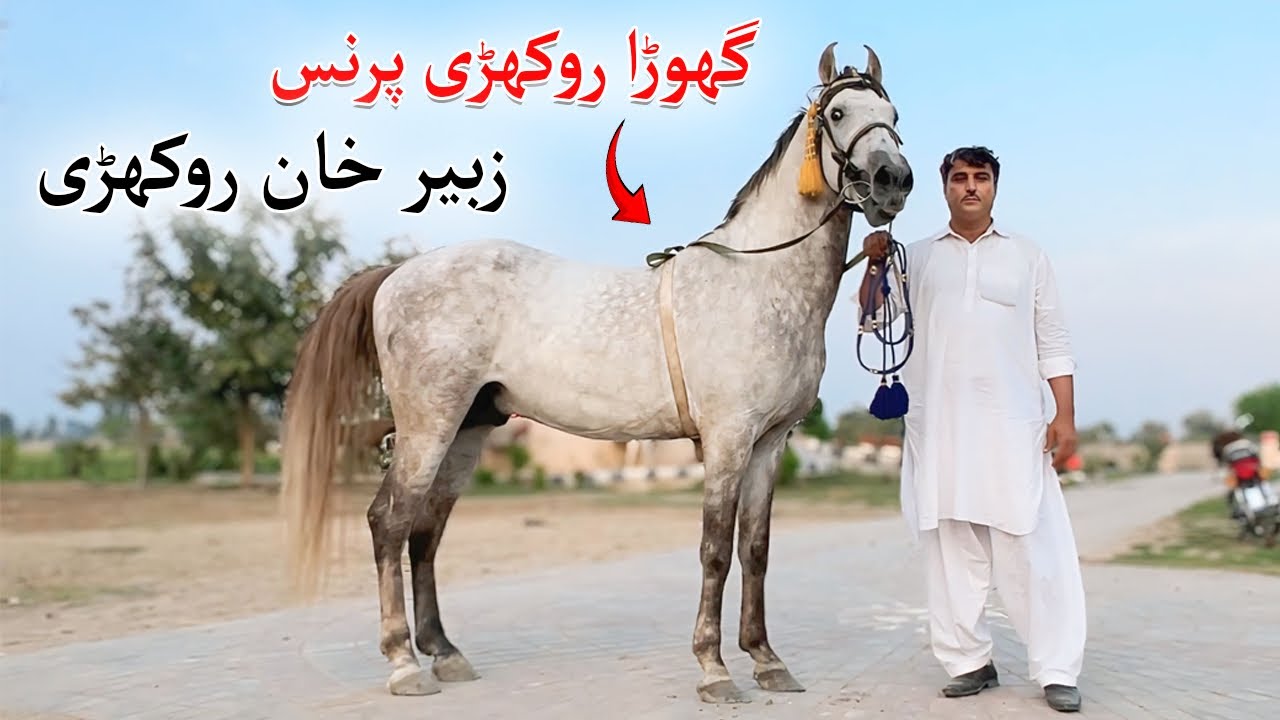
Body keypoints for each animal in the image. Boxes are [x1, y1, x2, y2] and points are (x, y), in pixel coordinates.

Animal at [279, 41, 914, 704]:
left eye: (893, 114)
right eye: (839, 113)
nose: (893, 181)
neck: (759, 280)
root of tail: (397, 274)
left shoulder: (770, 444)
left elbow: (756, 550)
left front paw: (767, 661)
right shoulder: (728, 440)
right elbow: (716, 550)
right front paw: (714, 669)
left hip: (466, 431)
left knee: (425, 530)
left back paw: (445, 654)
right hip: (429, 426)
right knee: (389, 522)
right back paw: (403, 661)